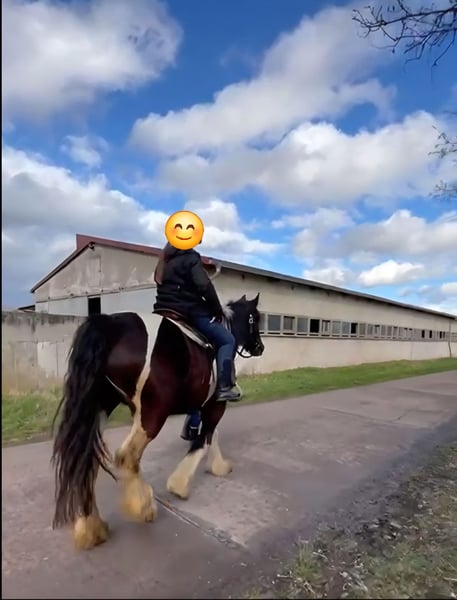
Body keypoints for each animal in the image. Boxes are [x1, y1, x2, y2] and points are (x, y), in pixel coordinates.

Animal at [50, 292, 264, 550]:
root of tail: (110, 325)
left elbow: (210, 436)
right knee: (126, 456)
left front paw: (218, 466)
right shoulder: (215, 404)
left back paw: (91, 528)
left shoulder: (204, 406)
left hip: (100, 407)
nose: (260, 347)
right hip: (153, 412)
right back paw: (142, 507)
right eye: (255, 318)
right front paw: (180, 485)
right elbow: (204, 439)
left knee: (86, 461)